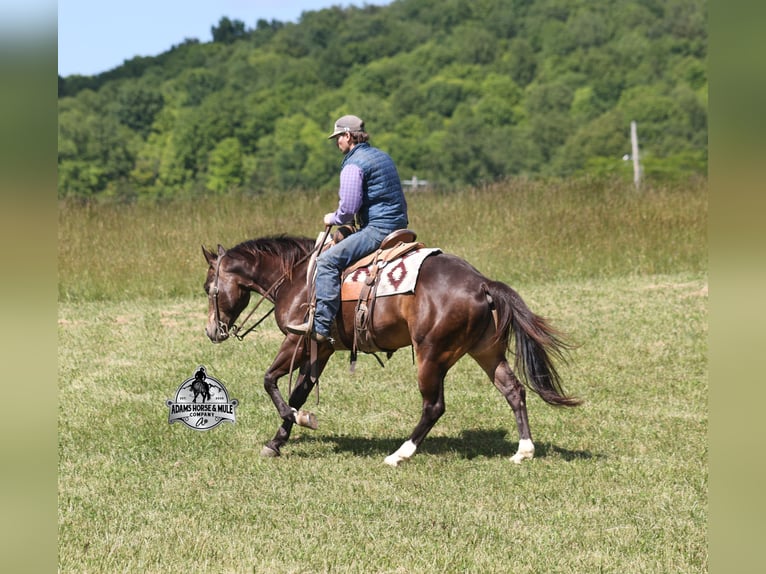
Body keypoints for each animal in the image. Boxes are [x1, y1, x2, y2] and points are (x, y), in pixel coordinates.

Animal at [202, 233, 580, 466]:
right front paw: (278, 440)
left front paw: (298, 420)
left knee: (434, 406)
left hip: (432, 355)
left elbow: (270, 381)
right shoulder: (320, 349)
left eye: (208, 288)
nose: (211, 330)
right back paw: (524, 450)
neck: (296, 278)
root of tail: (482, 283)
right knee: (513, 390)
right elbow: (298, 392)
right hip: (486, 352)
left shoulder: (297, 340)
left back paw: (400, 454)